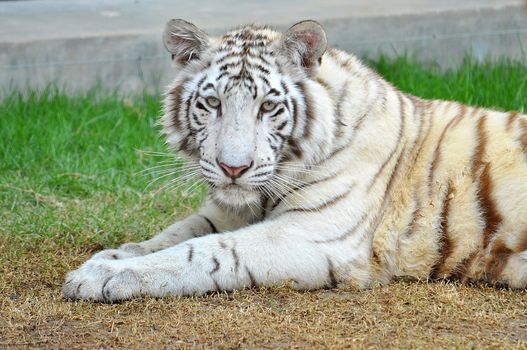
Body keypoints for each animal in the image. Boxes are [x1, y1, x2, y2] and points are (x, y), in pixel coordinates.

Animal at [63, 20, 527, 302]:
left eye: (268, 107)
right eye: (212, 103)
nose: (234, 168)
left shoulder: (312, 235)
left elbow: (205, 252)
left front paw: (103, 277)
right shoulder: (225, 211)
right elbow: (170, 235)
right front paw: (109, 258)